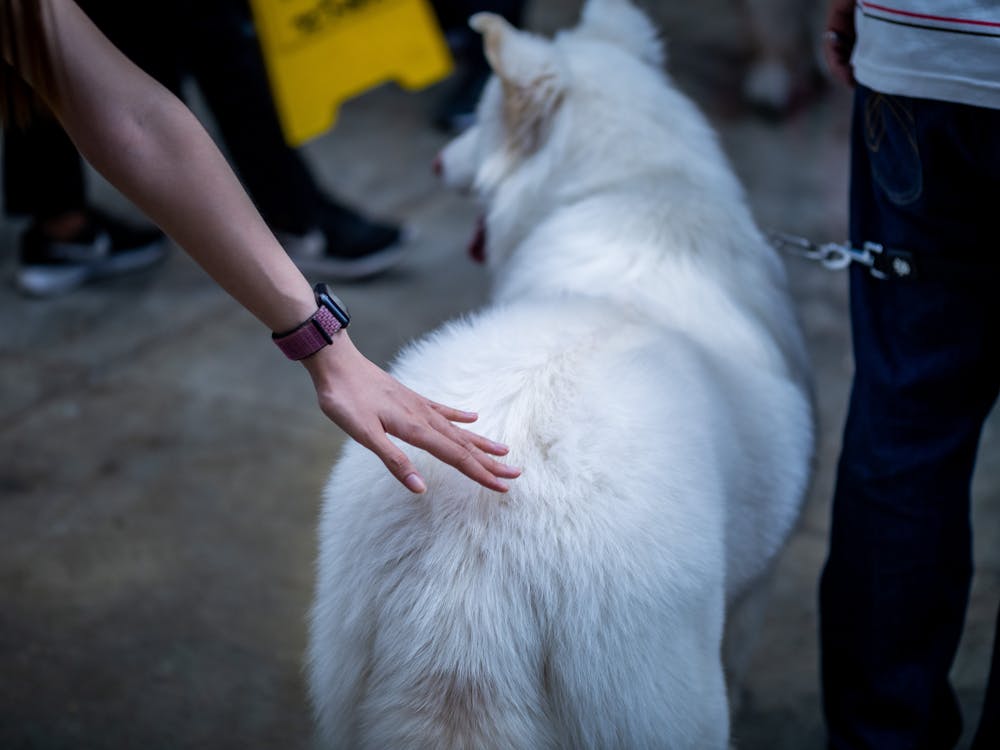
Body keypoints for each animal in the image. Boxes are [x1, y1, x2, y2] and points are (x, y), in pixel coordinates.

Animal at [308, 2, 816, 748]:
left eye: (484, 115)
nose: (436, 159)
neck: (638, 191)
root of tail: (473, 555)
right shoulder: (755, 592)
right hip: (673, 707)